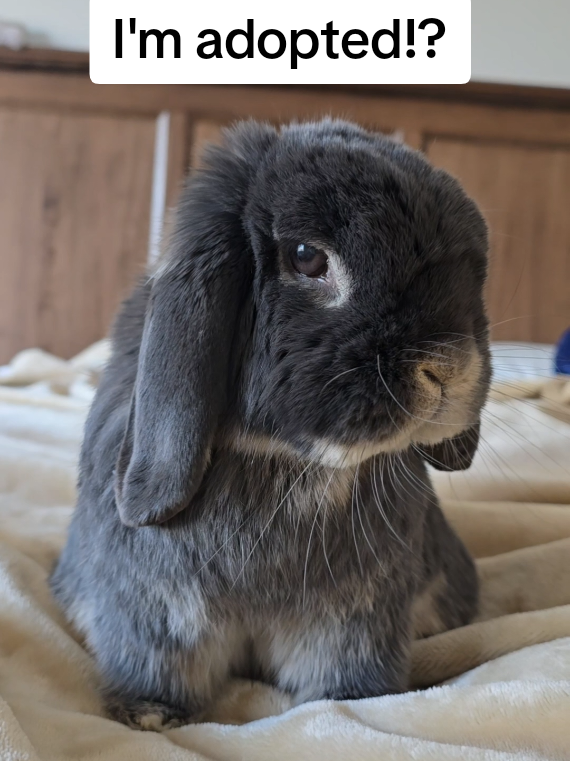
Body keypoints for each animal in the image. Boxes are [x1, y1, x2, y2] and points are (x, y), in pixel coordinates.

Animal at [51, 118, 491, 731]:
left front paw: (349, 703)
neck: (286, 458)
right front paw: (151, 717)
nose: (449, 367)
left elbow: (342, 675)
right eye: (307, 257)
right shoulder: (154, 611)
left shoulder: (352, 622)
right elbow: (158, 664)